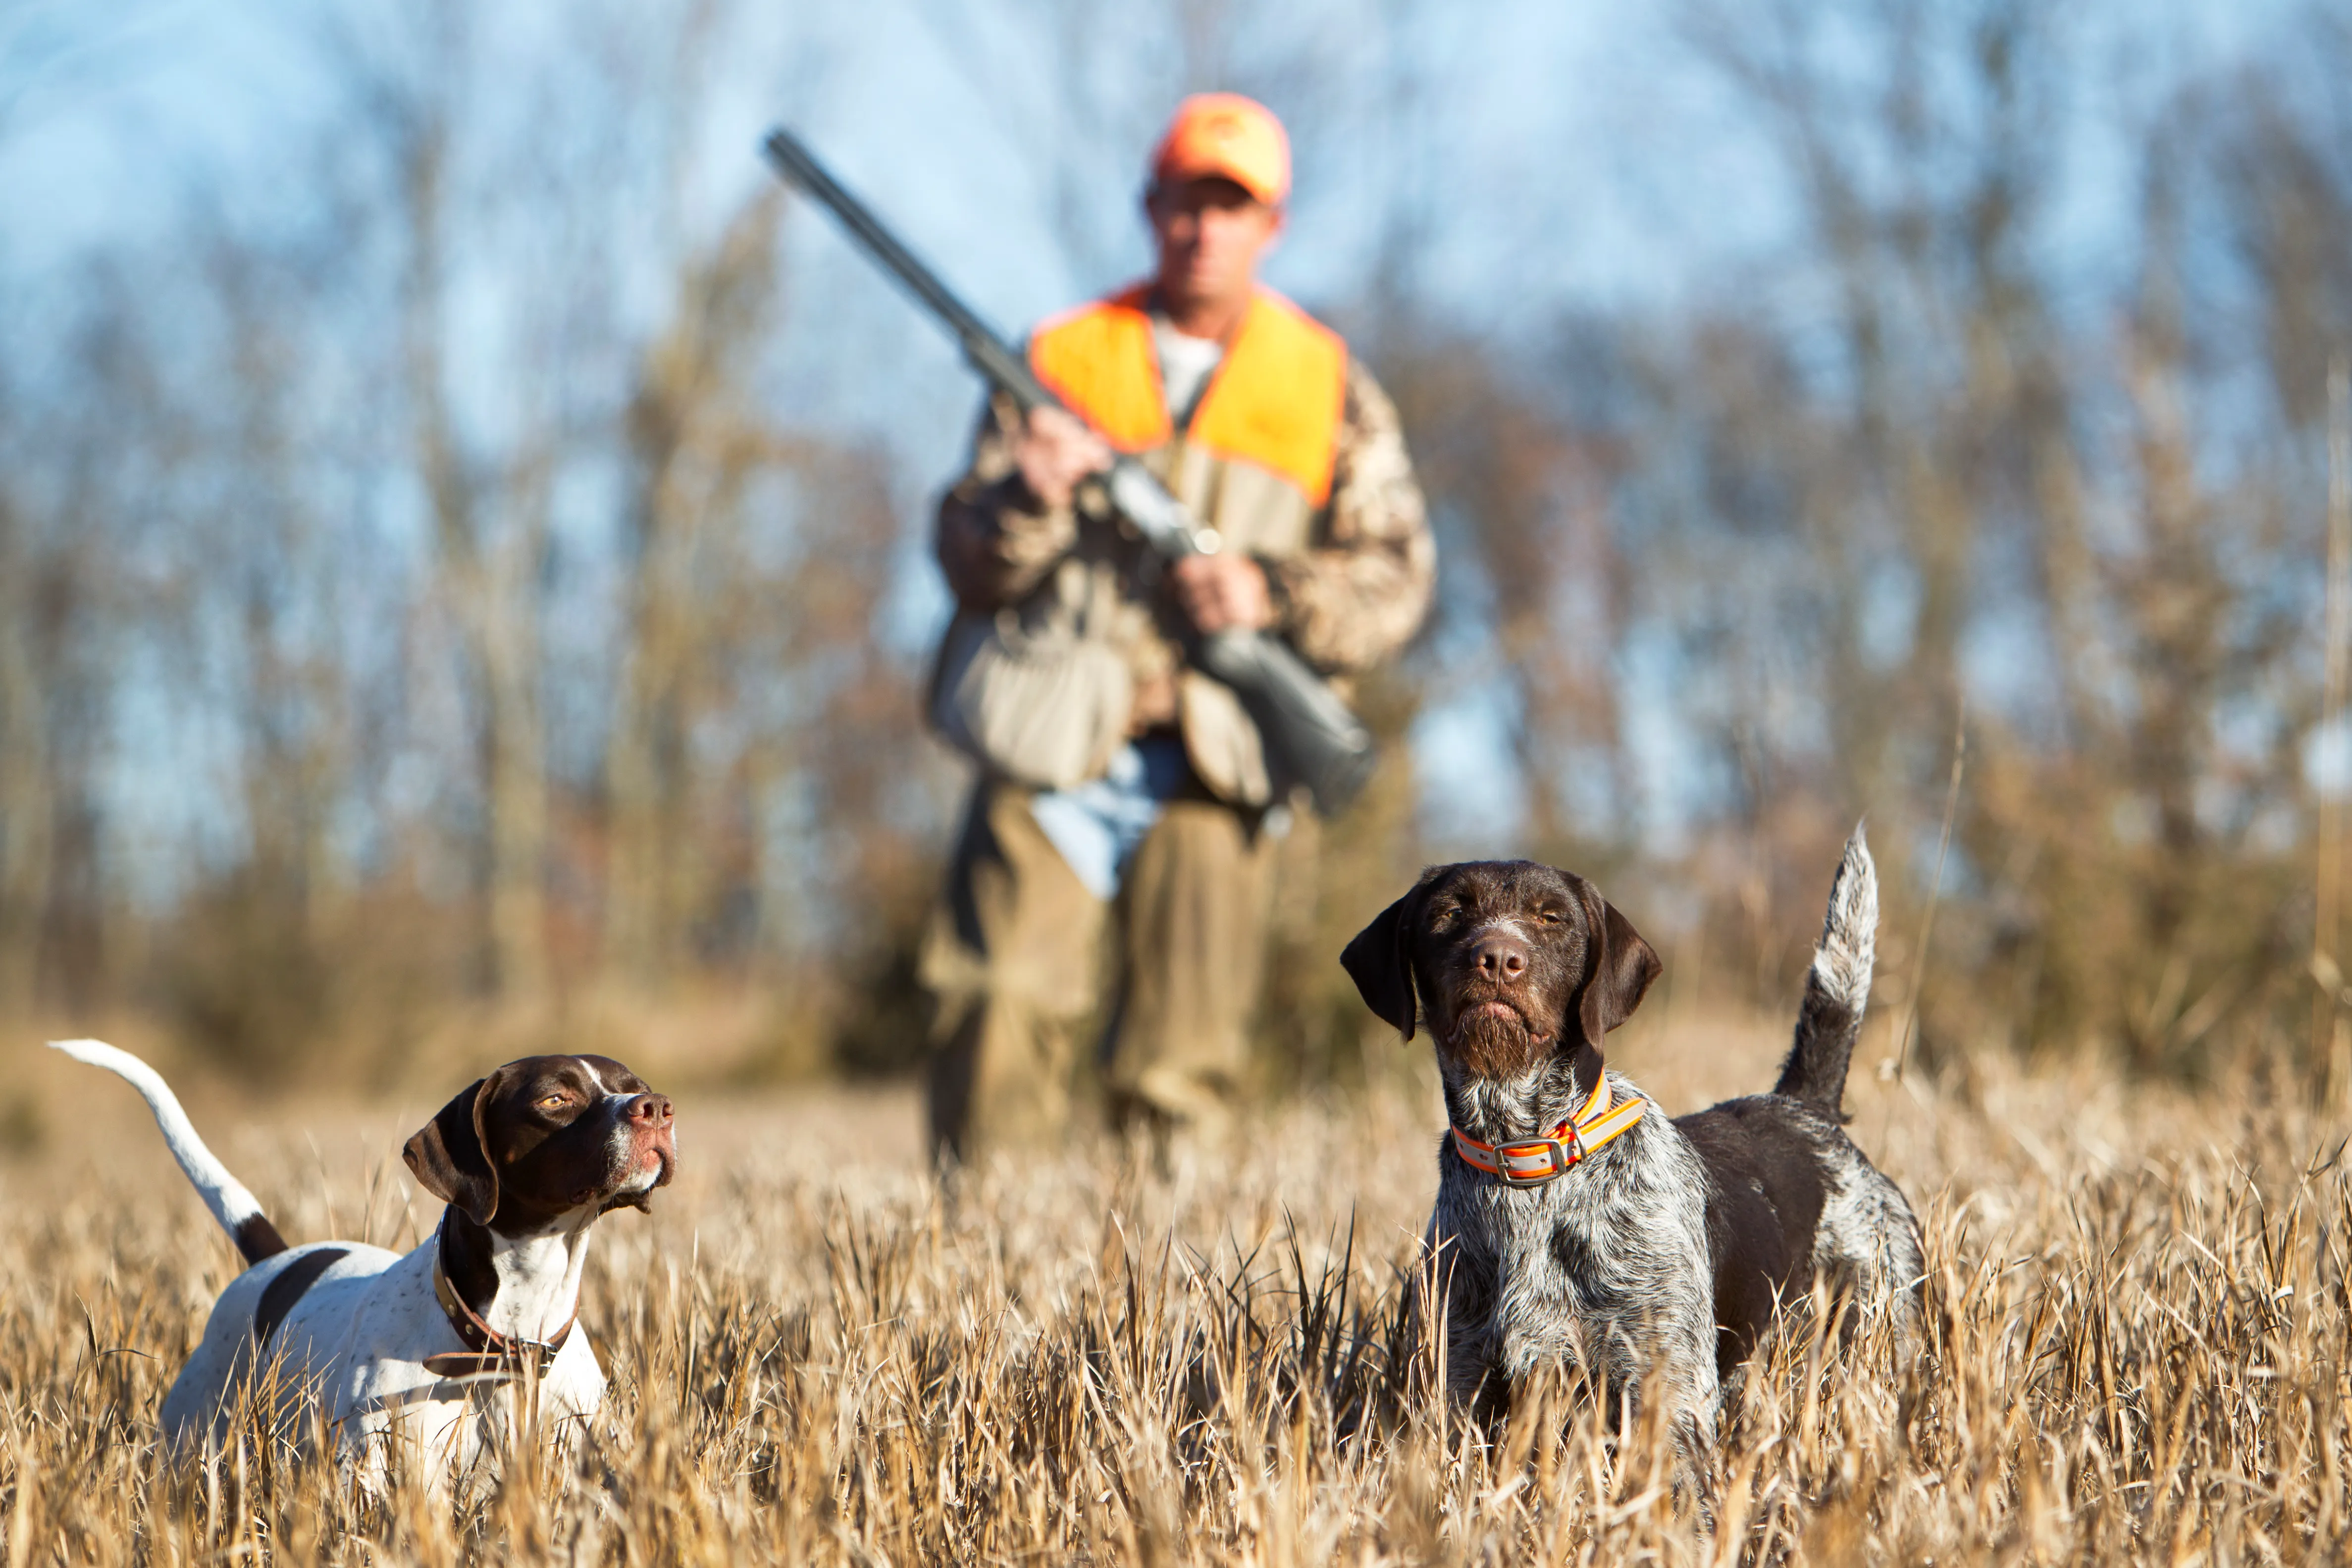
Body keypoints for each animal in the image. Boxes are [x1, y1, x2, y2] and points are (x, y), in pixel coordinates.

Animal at [51, 1044, 677, 1485]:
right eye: (555, 1100)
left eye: (635, 1088)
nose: (657, 1109)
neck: (505, 1339)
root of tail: (274, 1260)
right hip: (191, 1445)